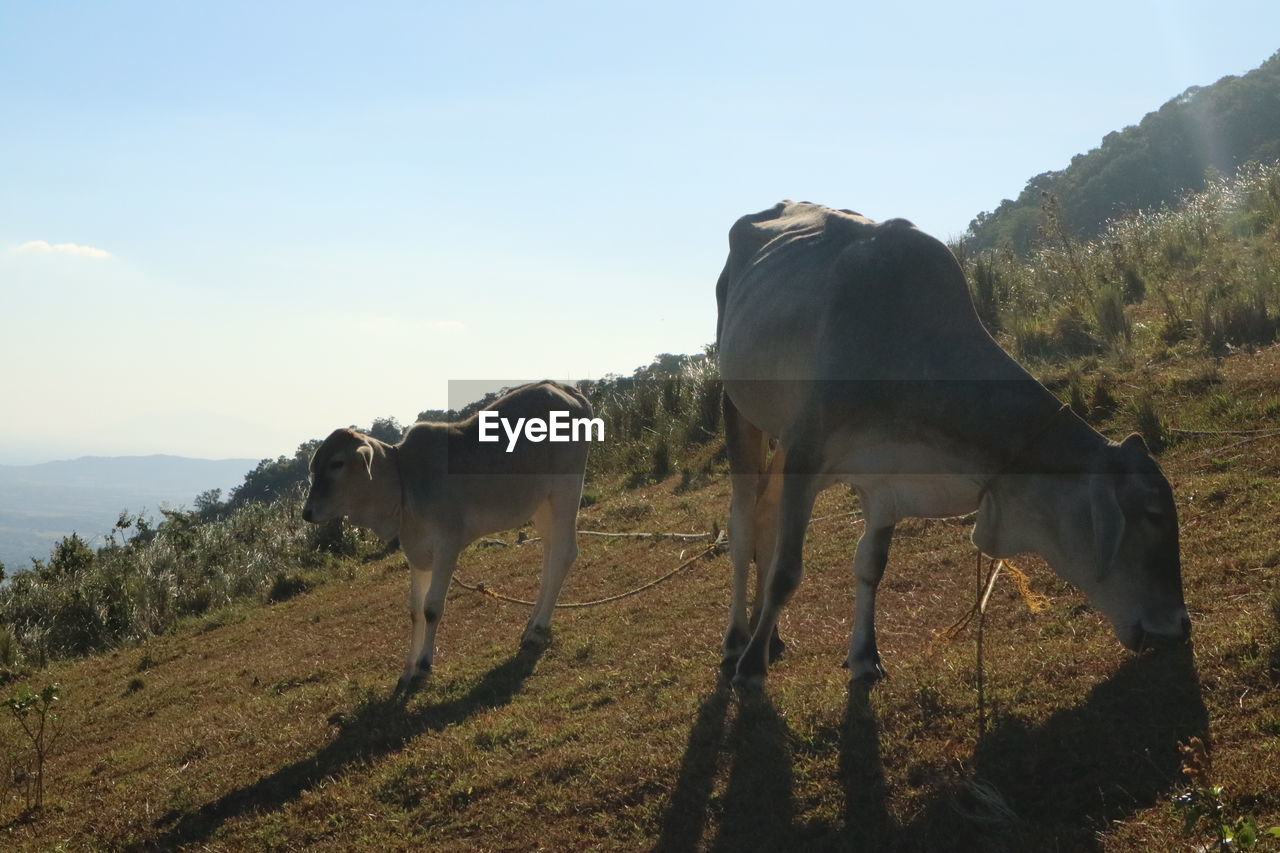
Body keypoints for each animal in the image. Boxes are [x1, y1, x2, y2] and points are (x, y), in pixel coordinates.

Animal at [302, 381, 591, 681]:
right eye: (313, 466)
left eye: (336, 463)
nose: (306, 512)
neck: (403, 478)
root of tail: (566, 389)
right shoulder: (416, 551)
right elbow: (415, 610)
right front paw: (408, 667)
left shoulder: (447, 544)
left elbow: (431, 607)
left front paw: (424, 663)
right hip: (543, 504)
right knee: (549, 556)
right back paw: (533, 625)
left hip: (566, 489)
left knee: (564, 552)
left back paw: (537, 630)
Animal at [721, 201, 1187, 686]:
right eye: (1153, 514)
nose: (1180, 626)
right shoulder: (806, 453)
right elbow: (787, 572)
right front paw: (750, 669)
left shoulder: (886, 479)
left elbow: (871, 565)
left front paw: (865, 656)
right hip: (738, 409)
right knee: (743, 525)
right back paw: (738, 641)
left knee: (765, 518)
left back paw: (769, 637)